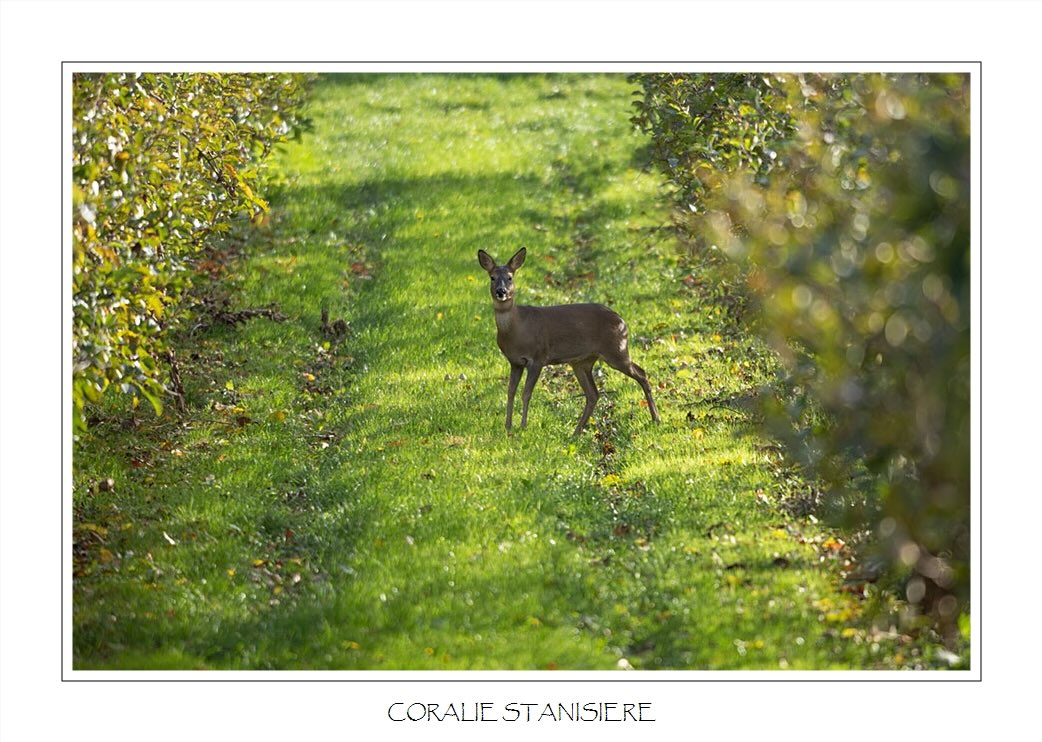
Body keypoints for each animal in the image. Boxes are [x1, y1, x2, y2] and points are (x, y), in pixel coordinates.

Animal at [477, 247, 660, 436]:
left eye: (510, 277)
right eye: (492, 277)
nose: (501, 291)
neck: (517, 329)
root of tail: (622, 321)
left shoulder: (538, 357)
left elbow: (526, 393)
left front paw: (522, 426)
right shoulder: (515, 362)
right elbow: (510, 392)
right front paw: (507, 426)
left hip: (616, 349)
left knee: (641, 373)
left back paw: (656, 418)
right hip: (582, 362)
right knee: (593, 393)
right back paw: (576, 432)